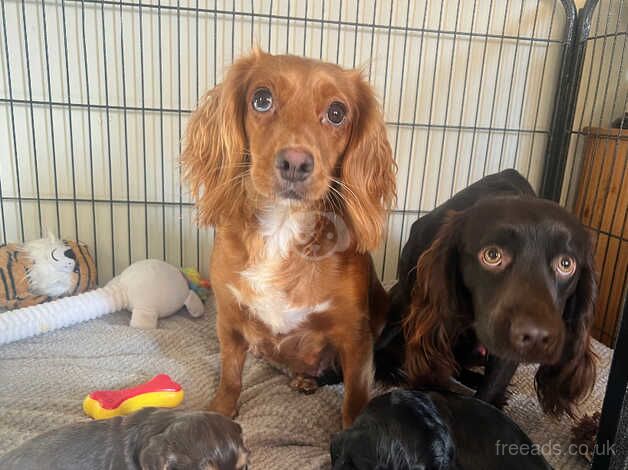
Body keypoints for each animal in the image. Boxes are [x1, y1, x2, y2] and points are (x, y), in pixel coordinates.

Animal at [182, 49, 394, 428]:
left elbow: (354, 399)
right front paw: (220, 411)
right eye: (261, 99)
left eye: (337, 113)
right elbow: (230, 376)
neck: (282, 228)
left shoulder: (356, 338)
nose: (295, 163)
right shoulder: (229, 319)